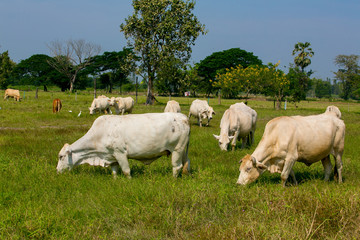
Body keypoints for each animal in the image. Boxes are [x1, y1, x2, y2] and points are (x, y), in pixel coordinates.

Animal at [56, 113, 190, 178]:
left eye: (61, 156)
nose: (57, 170)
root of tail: (183, 117)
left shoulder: (120, 153)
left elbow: (126, 171)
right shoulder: (111, 156)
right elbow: (114, 171)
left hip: (177, 149)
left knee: (177, 166)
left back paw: (172, 179)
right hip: (183, 150)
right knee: (186, 163)